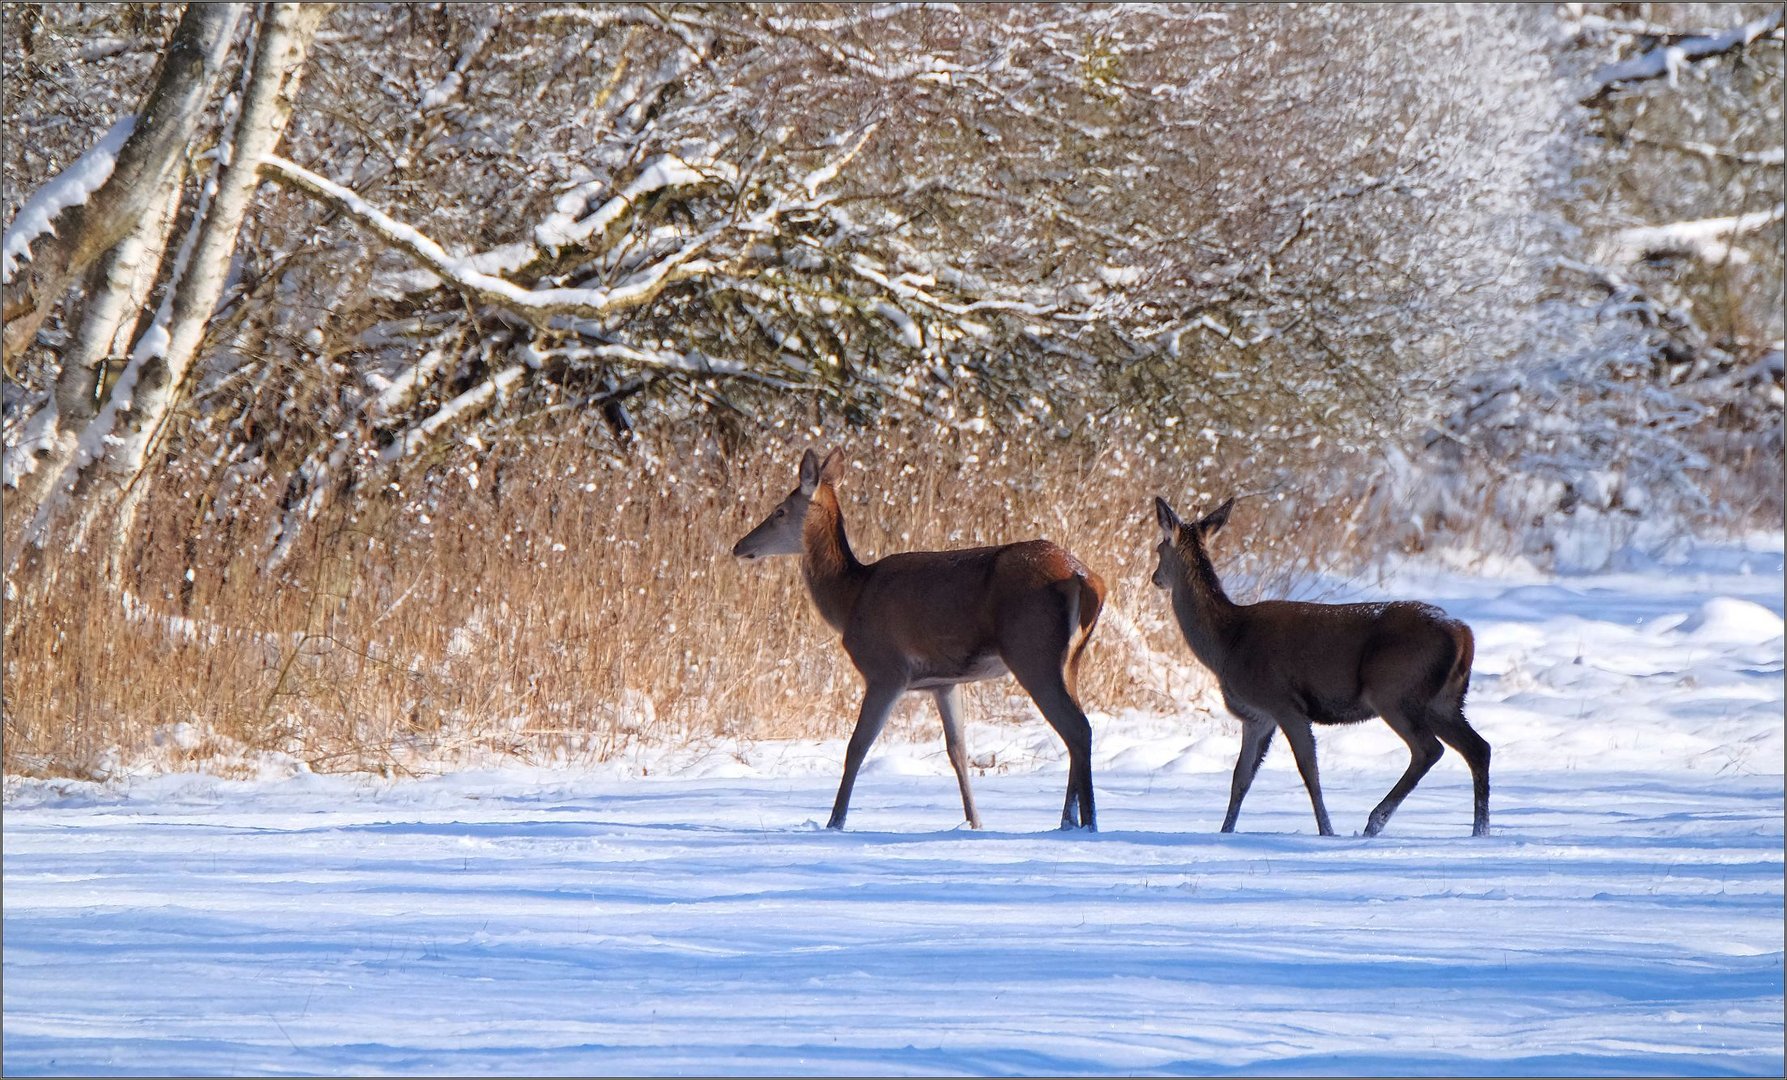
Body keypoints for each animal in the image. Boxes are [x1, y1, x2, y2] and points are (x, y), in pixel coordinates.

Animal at [729, 450, 1100, 829]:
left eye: (779, 511)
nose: (739, 546)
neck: (850, 599)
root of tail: (1084, 578)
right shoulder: (944, 683)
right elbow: (957, 750)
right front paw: (974, 822)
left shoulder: (886, 670)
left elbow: (856, 746)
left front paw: (835, 822)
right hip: (1068, 658)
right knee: (1075, 730)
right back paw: (1068, 822)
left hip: (1032, 650)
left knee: (1077, 729)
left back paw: (1086, 824)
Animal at [1150, 493, 1486, 840]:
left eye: (1158, 548)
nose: (1155, 578)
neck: (1227, 643)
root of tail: (1463, 634)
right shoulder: (1257, 716)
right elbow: (1240, 778)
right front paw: (1224, 831)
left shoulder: (1284, 703)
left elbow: (1308, 769)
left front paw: (1328, 831)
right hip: (1444, 700)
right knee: (1478, 748)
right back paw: (1479, 831)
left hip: (1395, 690)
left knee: (1428, 749)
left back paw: (1373, 822)